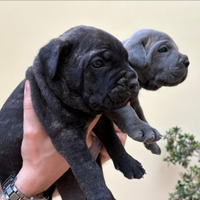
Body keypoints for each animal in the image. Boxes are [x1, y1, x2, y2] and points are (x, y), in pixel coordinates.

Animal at [0, 25, 145, 200]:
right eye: (98, 63)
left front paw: (129, 163)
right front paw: (102, 195)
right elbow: (88, 169)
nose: (133, 82)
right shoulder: (68, 136)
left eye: (126, 59)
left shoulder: (101, 121)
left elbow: (113, 140)